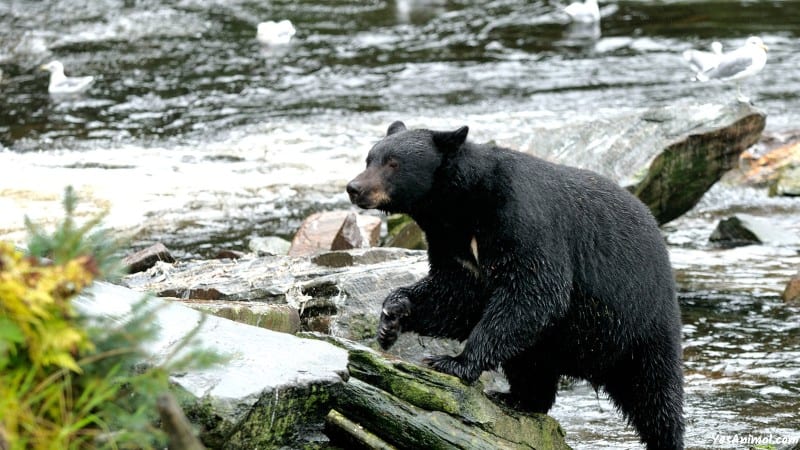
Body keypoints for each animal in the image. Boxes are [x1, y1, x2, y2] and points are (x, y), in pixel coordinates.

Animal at [346, 120, 684, 450]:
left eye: (393, 163)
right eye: (369, 159)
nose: (354, 188)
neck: (463, 206)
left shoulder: (520, 219)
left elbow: (533, 291)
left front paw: (452, 361)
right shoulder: (453, 243)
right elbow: (455, 294)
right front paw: (392, 316)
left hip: (642, 322)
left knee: (656, 394)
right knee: (532, 366)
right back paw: (518, 398)